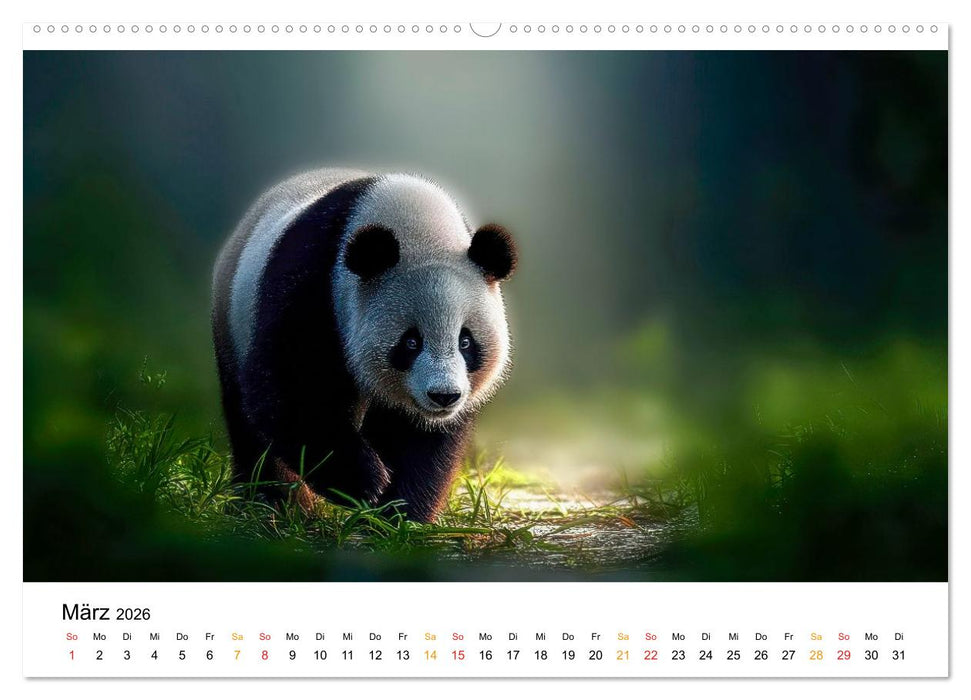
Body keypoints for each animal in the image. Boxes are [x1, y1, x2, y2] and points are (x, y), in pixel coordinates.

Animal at [211, 169, 517, 523]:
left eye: (465, 341)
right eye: (411, 342)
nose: (444, 396)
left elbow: (418, 437)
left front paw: (397, 513)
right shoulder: (315, 279)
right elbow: (292, 386)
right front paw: (365, 482)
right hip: (233, 318)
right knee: (245, 418)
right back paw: (271, 500)